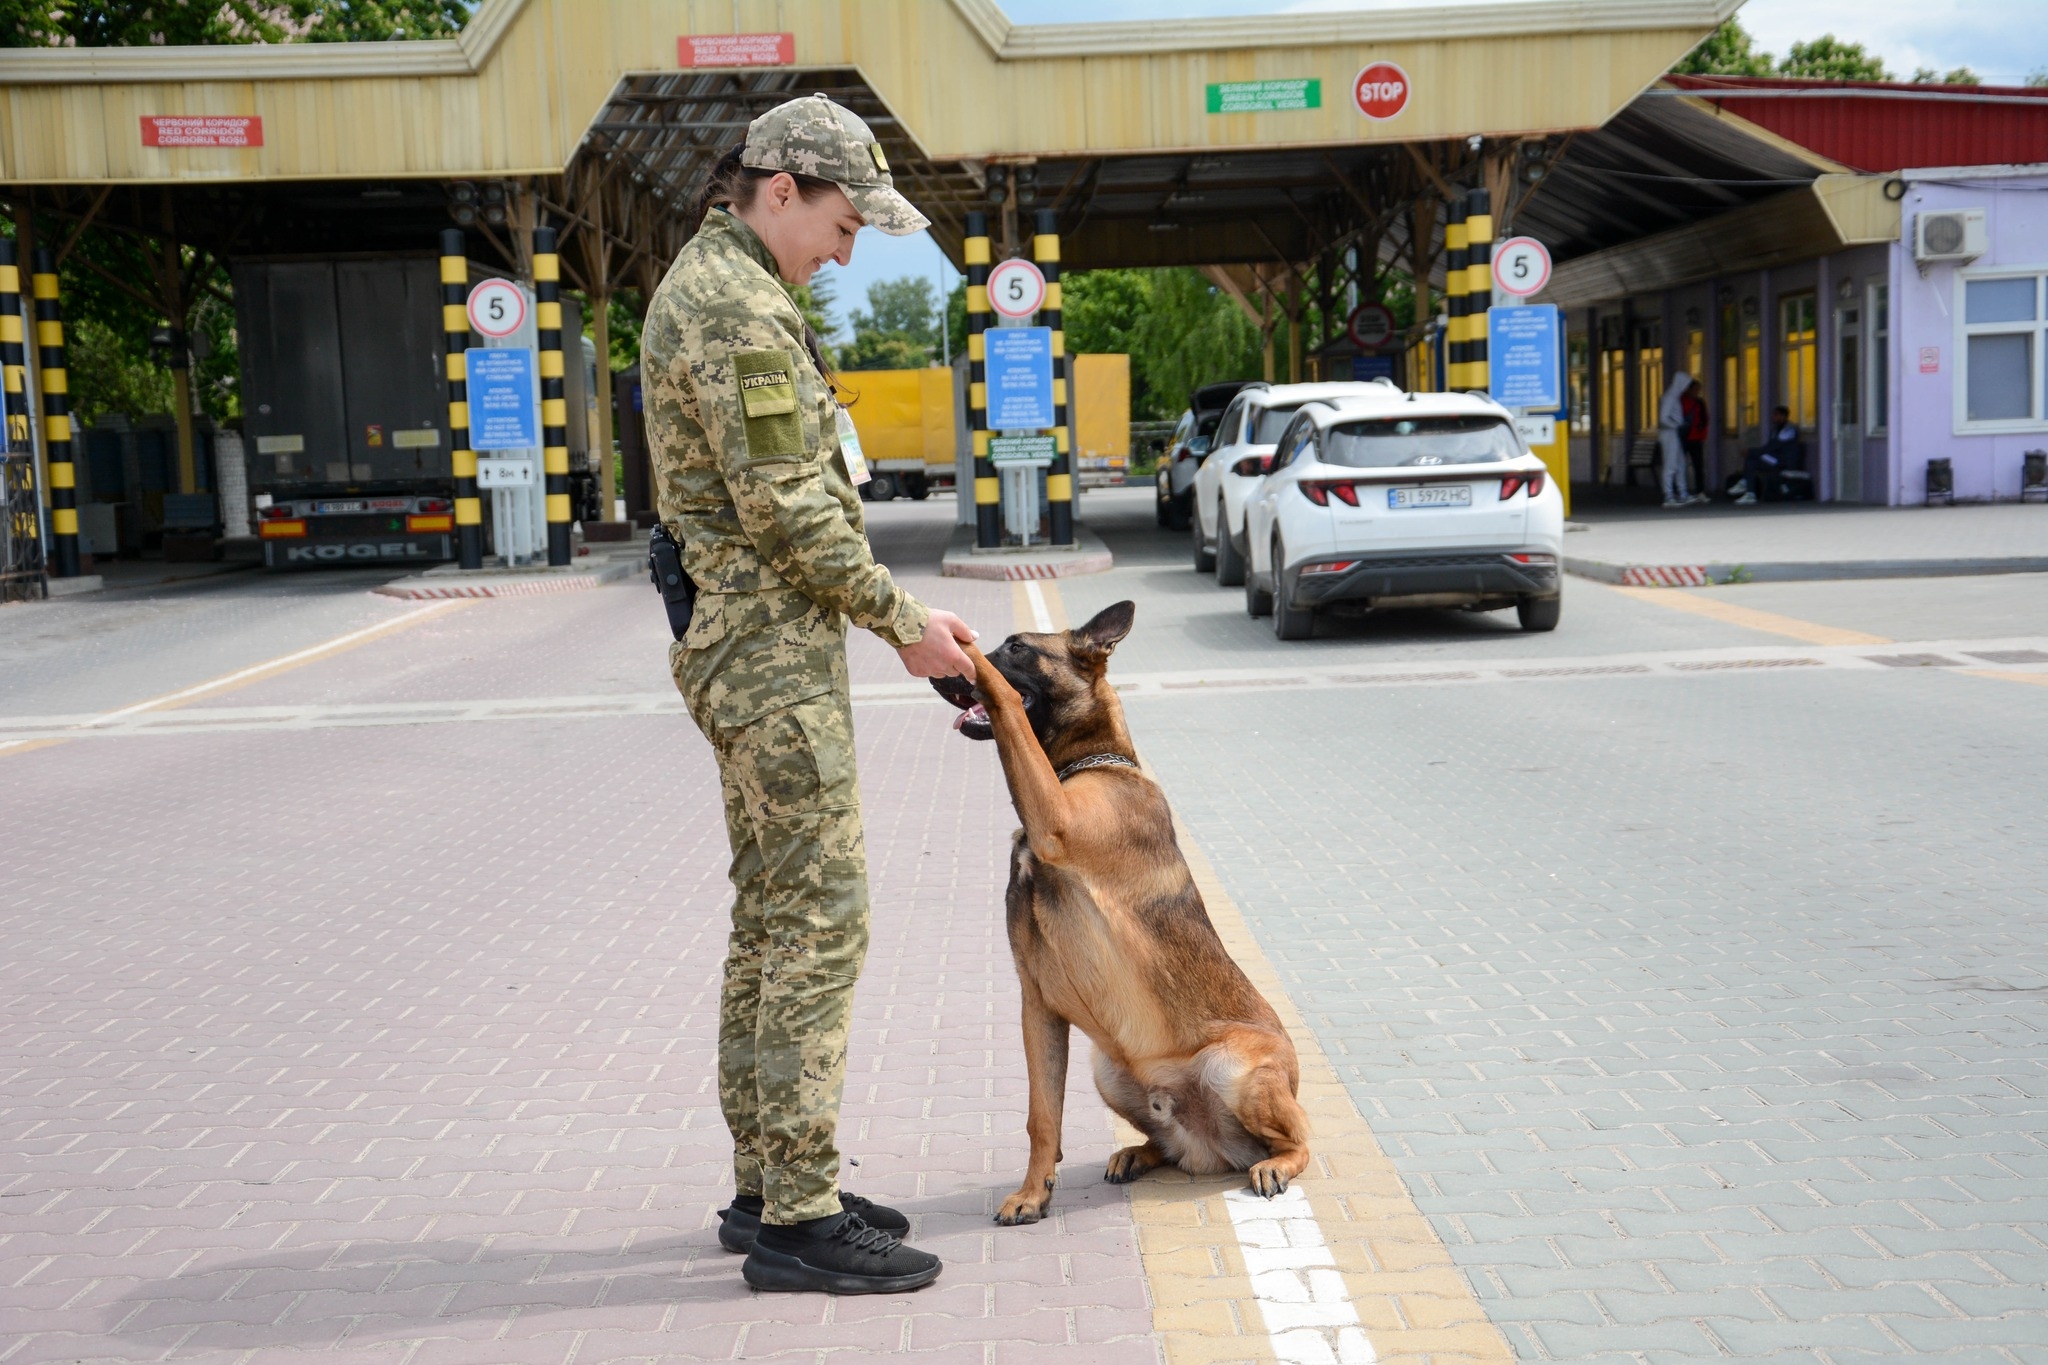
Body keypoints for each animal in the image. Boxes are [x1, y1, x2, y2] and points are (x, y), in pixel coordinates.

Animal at [933, 601, 1310, 1219]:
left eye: (1016, 647)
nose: (940, 676)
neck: (1086, 766)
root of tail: (1216, 1151)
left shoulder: (1054, 818)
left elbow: (1006, 701)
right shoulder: (1036, 1002)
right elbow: (1041, 1116)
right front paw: (1034, 1192)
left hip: (1232, 1068)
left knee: (1301, 1137)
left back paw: (1275, 1164)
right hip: (1109, 1070)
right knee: (1169, 1146)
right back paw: (1138, 1153)